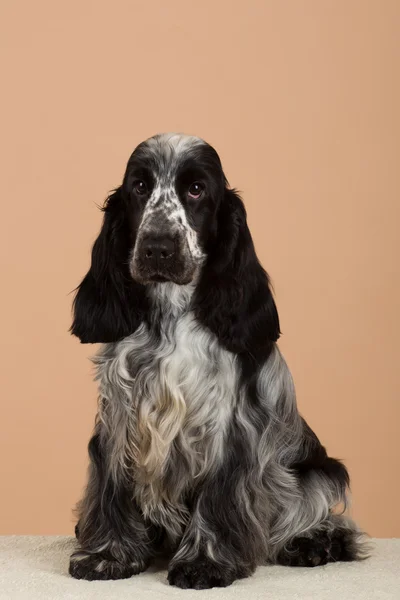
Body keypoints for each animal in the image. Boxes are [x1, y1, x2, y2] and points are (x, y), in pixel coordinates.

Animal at [69, 134, 368, 588]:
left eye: (196, 190)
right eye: (139, 187)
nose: (157, 247)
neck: (172, 314)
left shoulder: (231, 430)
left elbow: (219, 496)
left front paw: (204, 564)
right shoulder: (119, 416)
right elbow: (111, 487)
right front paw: (106, 555)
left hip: (316, 472)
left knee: (320, 519)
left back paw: (313, 544)